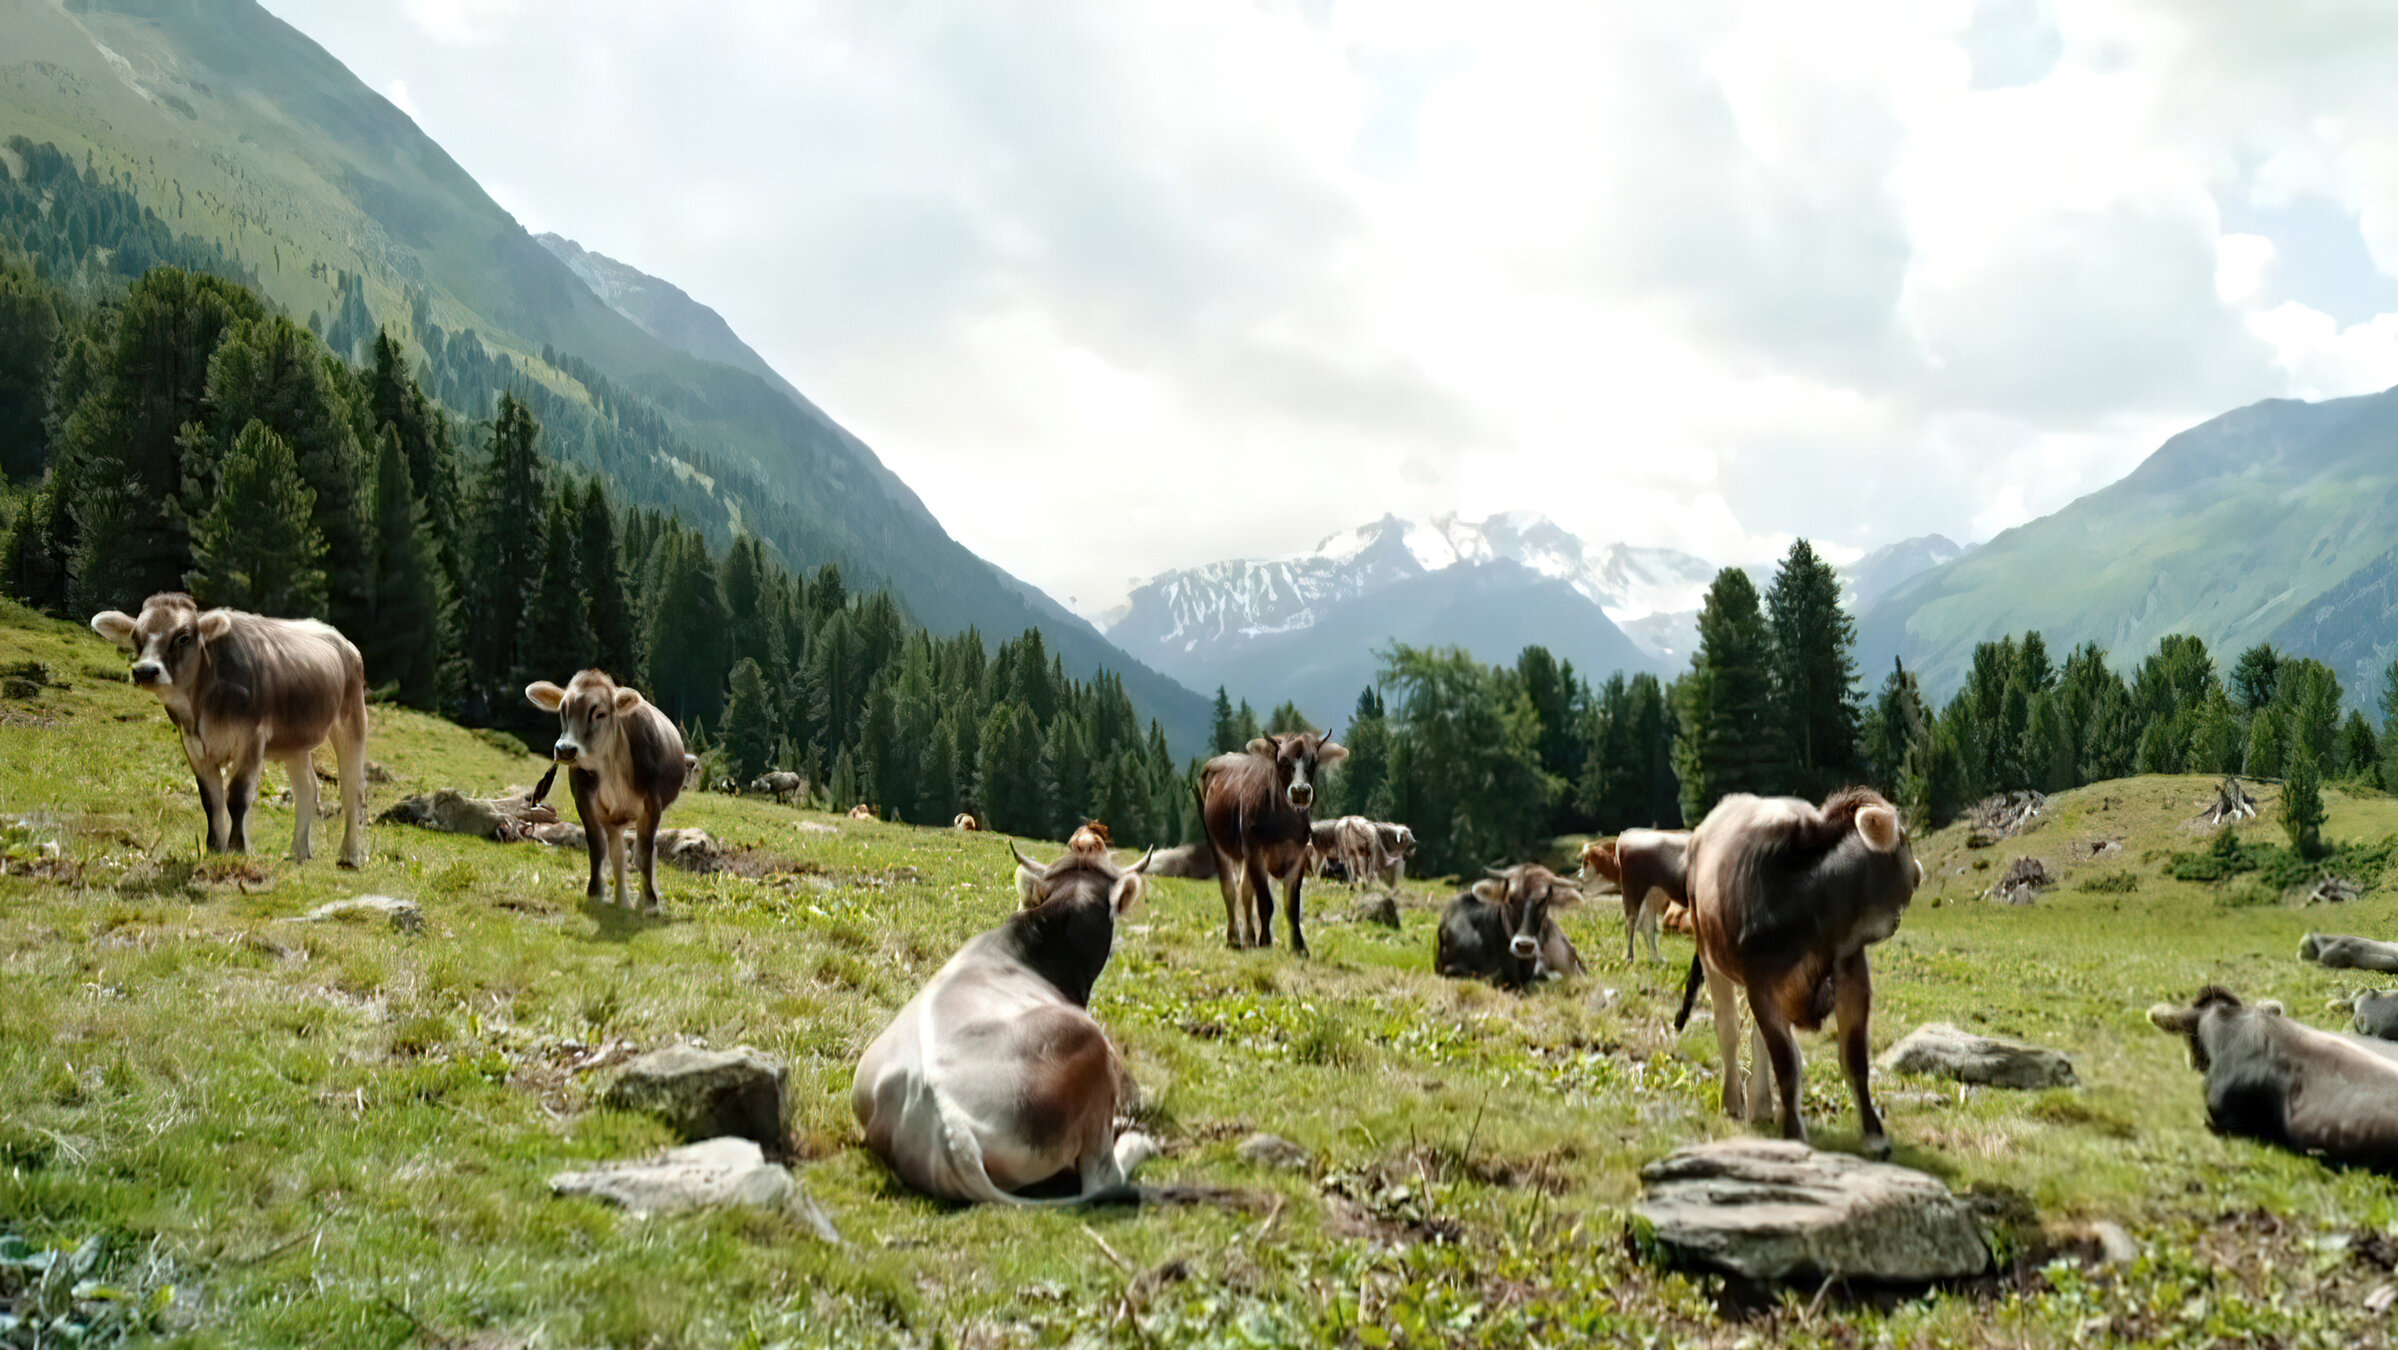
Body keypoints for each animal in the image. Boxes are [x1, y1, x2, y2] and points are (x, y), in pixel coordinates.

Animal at [90, 593, 368, 867]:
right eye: (136, 636)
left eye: (183, 636)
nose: (145, 671)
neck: (201, 708)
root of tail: (341, 639)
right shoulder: (193, 744)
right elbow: (210, 799)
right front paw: (214, 847)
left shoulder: (252, 738)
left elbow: (237, 797)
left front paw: (237, 848)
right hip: (295, 742)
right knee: (307, 789)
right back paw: (299, 852)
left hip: (351, 719)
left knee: (352, 790)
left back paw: (350, 856)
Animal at [525, 670, 690, 915]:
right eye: (563, 710)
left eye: (600, 713)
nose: (565, 749)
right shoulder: (583, 796)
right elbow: (597, 845)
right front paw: (595, 892)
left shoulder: (653, 801)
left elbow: (645, 851)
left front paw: (649, 901)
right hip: (612, 818)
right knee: (617, 853)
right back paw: (622, 901)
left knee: (643, 850)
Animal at [1200, 732, 1346, 955]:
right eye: (1283, 761)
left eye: (1313, 762)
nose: (1300, 791)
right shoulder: (1255, 852)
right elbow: (1265, 902)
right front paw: (1266, 941)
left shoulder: (1298, 855)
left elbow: (1292, 905)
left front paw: (1299, 947)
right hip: (1216, 842)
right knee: (1229, 890)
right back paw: (1234, 939)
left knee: (1245, 890)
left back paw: (1249, 938)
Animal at [1580, 829, 1691, 964]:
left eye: (1586, 863)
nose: (1579, 877)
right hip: (1635, 886)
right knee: (1635, 922)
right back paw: (1632, 958)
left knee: (1645, 924)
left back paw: (1653, 959)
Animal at [1671, 788, 1921, 1157]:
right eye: (1904, 839)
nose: (1918, 872)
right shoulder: (1760, 985)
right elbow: (1786, 1062)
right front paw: (1793, 1131)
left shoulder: (1851, 973)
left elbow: (1855, 1060)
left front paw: (1874, 1135)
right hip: (1709, 952)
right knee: (1728, 1029)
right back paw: (1733, 1100)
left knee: (1754, 1037)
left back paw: (1761, 1105)